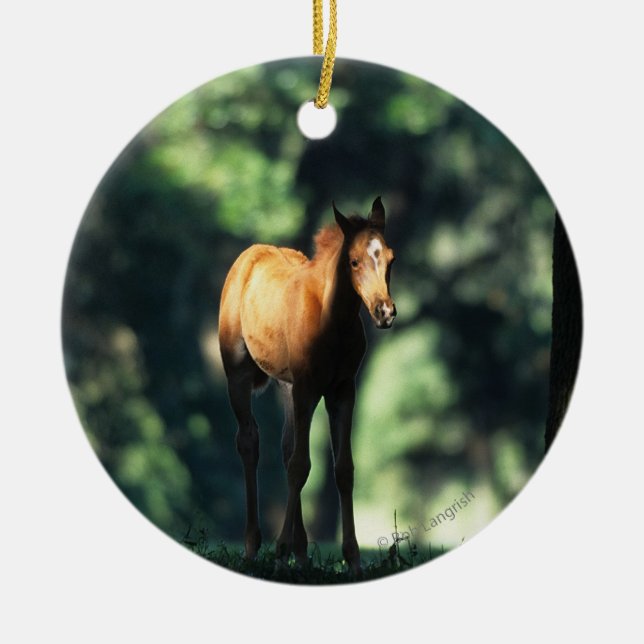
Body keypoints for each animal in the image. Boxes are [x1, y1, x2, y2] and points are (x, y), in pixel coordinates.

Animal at [218, 197, 396, 574]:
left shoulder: (342, 390)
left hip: (287, 387)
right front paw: (279, 551)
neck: (333, 322)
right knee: (249, 442)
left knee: (287, 449)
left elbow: (342, 469)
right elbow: (301, 466)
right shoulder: (308, 388)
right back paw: (254, 548)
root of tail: (248, 256)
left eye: (390, 257)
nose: (384, 312)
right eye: (353, 261)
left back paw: (301, 556)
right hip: (239, 376)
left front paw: (353, 560)